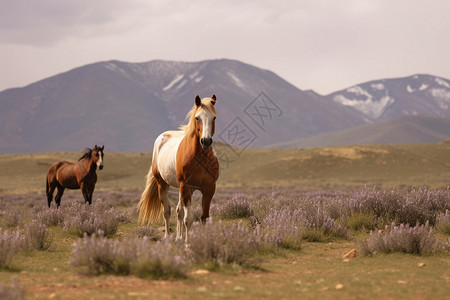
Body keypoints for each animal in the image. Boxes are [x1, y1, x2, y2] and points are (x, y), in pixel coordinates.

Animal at [139, 94, 220, 241]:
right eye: (197, 117)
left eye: (214, 117)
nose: (206, 141)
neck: (200, 159)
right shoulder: (186, 187)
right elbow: (188, 219)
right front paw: (188, 243)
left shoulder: (209, 188)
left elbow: (204, 217)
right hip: (163, 184)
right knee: (167, 211)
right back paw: (168, 236)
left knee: (179, 211)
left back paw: (179, 237)